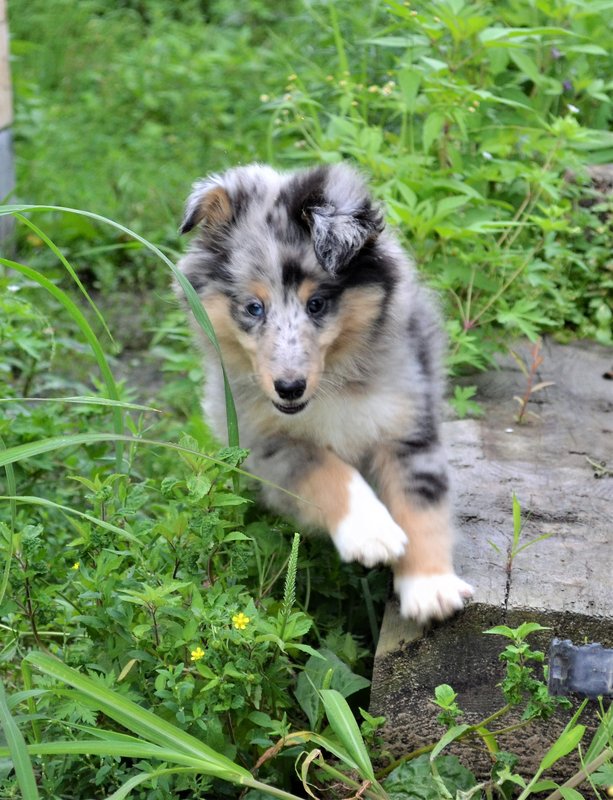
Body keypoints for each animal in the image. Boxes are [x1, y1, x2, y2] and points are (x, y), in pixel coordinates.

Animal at [177, 164, 474, 624]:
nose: (289, 388)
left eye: (316, 304)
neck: (332, 385)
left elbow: (421, 503)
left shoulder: (408, 422)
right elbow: (328, 470)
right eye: (253, 308)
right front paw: (372, 533)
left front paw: (430, 587)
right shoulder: (268, 444)